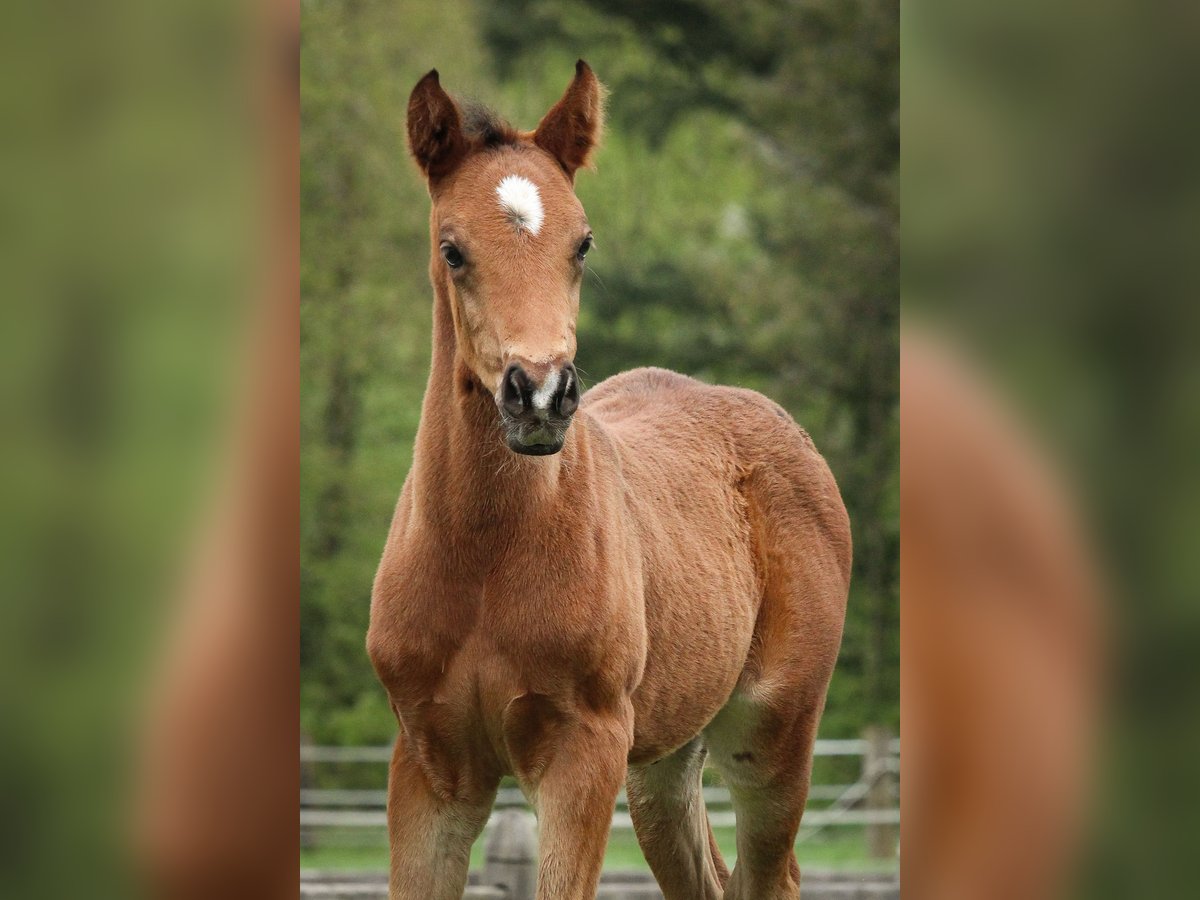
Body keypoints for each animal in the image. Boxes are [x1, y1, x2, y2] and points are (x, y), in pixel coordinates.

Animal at [367, 63, 854, 900]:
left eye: (583, 242)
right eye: (451, 248)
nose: (539, 395)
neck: (484, 557)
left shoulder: (582, 751)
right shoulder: (428, 763)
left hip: (772, 736)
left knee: (772, 875)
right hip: (663, 761)